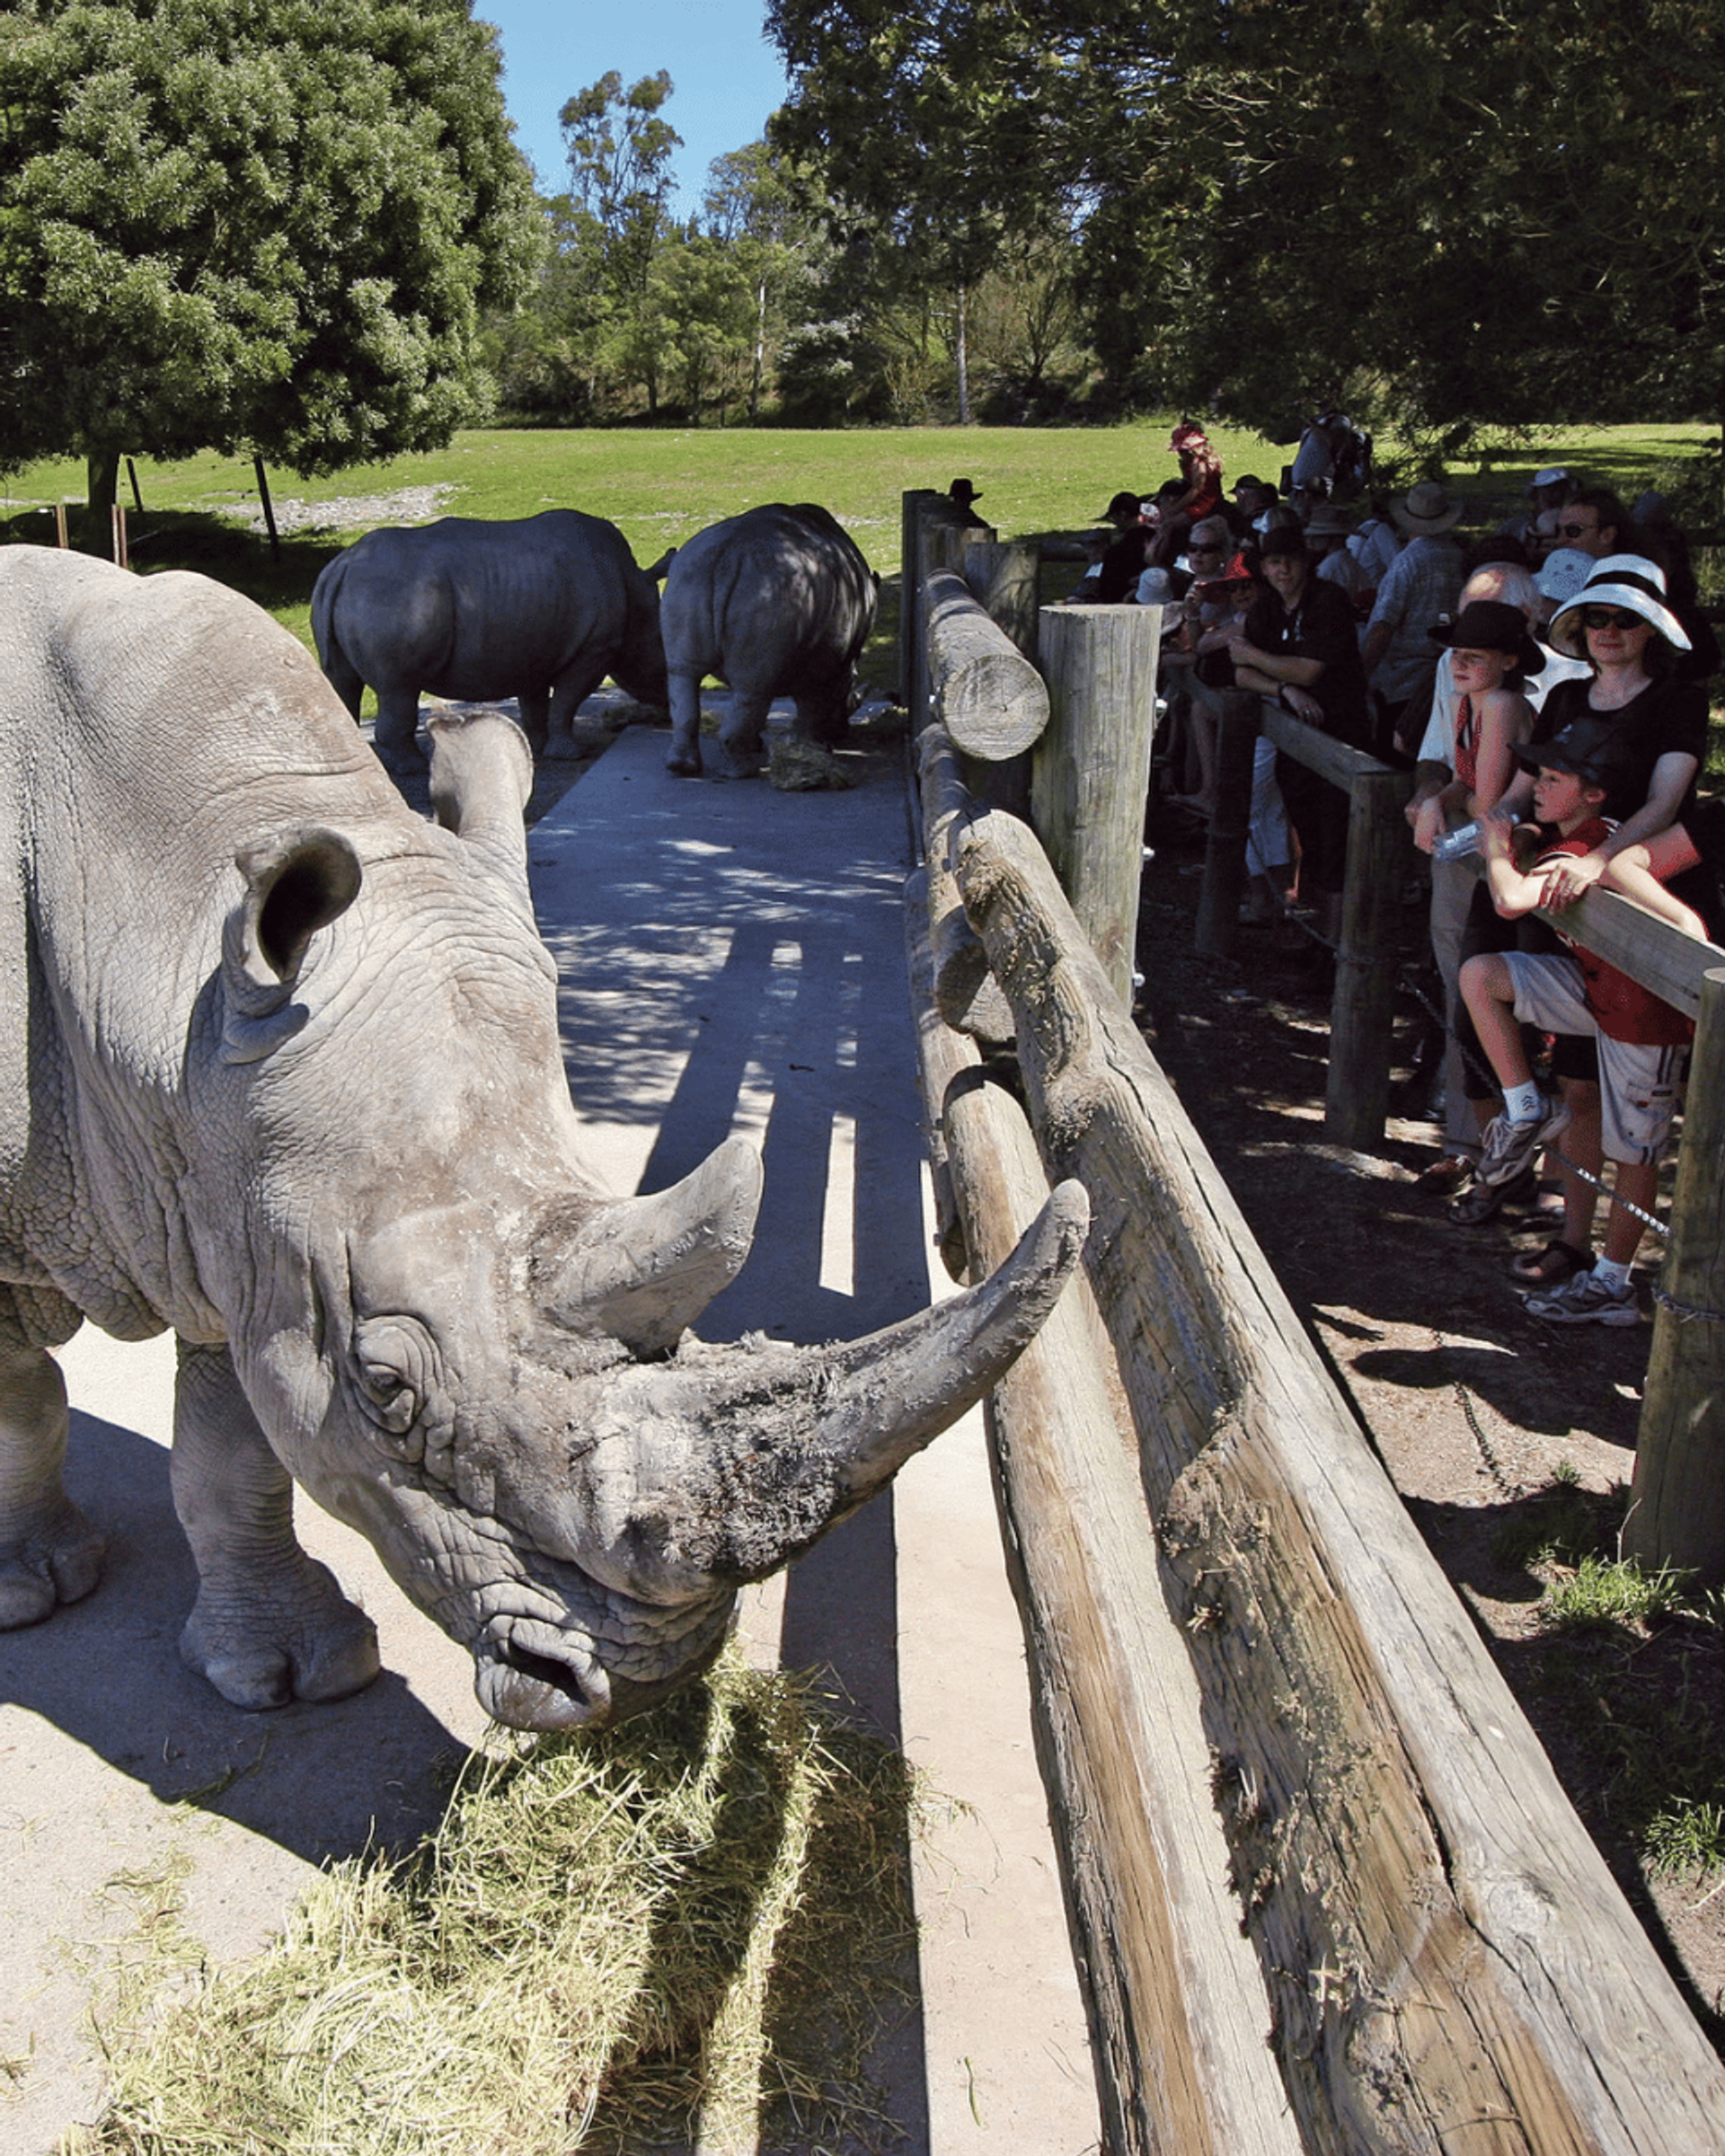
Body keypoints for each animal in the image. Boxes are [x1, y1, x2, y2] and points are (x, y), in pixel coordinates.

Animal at [0, 546, 1086, 1731]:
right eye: (386, 1387)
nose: (643, 1681)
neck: (170, 950)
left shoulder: (233, 1194)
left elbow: (236, 1440)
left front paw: (295, 1675)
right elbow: (24, 1400)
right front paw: (29, 1598)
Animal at [311, 510, 670, 774]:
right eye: (662, 648)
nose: (669, 709)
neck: (636, 592)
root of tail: (341, 565)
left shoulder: (535, 648)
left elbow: (536, 704)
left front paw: (535, 748)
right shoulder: (594, 649)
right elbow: (566, 702)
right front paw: (569, 755)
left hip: (361, 592)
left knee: (341, 684)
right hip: (393, 596)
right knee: (399, 688)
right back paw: (414, 768)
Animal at [661, 502, 878, 779]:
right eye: (850, 692)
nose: (843, 732)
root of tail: (727, 557)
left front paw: (764, 745)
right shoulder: (828, 660)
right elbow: (811, 704)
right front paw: (816, 747)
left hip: (689, 577)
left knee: (684, 673)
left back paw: (683, 767)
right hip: (771, 594)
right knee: (752, 689)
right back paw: (743, 771)